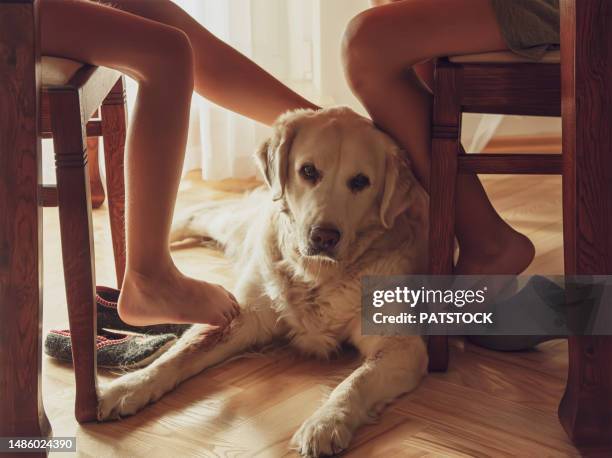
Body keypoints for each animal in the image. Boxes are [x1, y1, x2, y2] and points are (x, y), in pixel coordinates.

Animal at [97, 106, 430, 454]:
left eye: (361, 181)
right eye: (308, 171)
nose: (323, 237)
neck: (316, 274)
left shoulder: (400, 346)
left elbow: (355, 382)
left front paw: (325, 423)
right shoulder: (244, 317)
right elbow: (181, 354)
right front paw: (127, 387)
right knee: (201, 212)